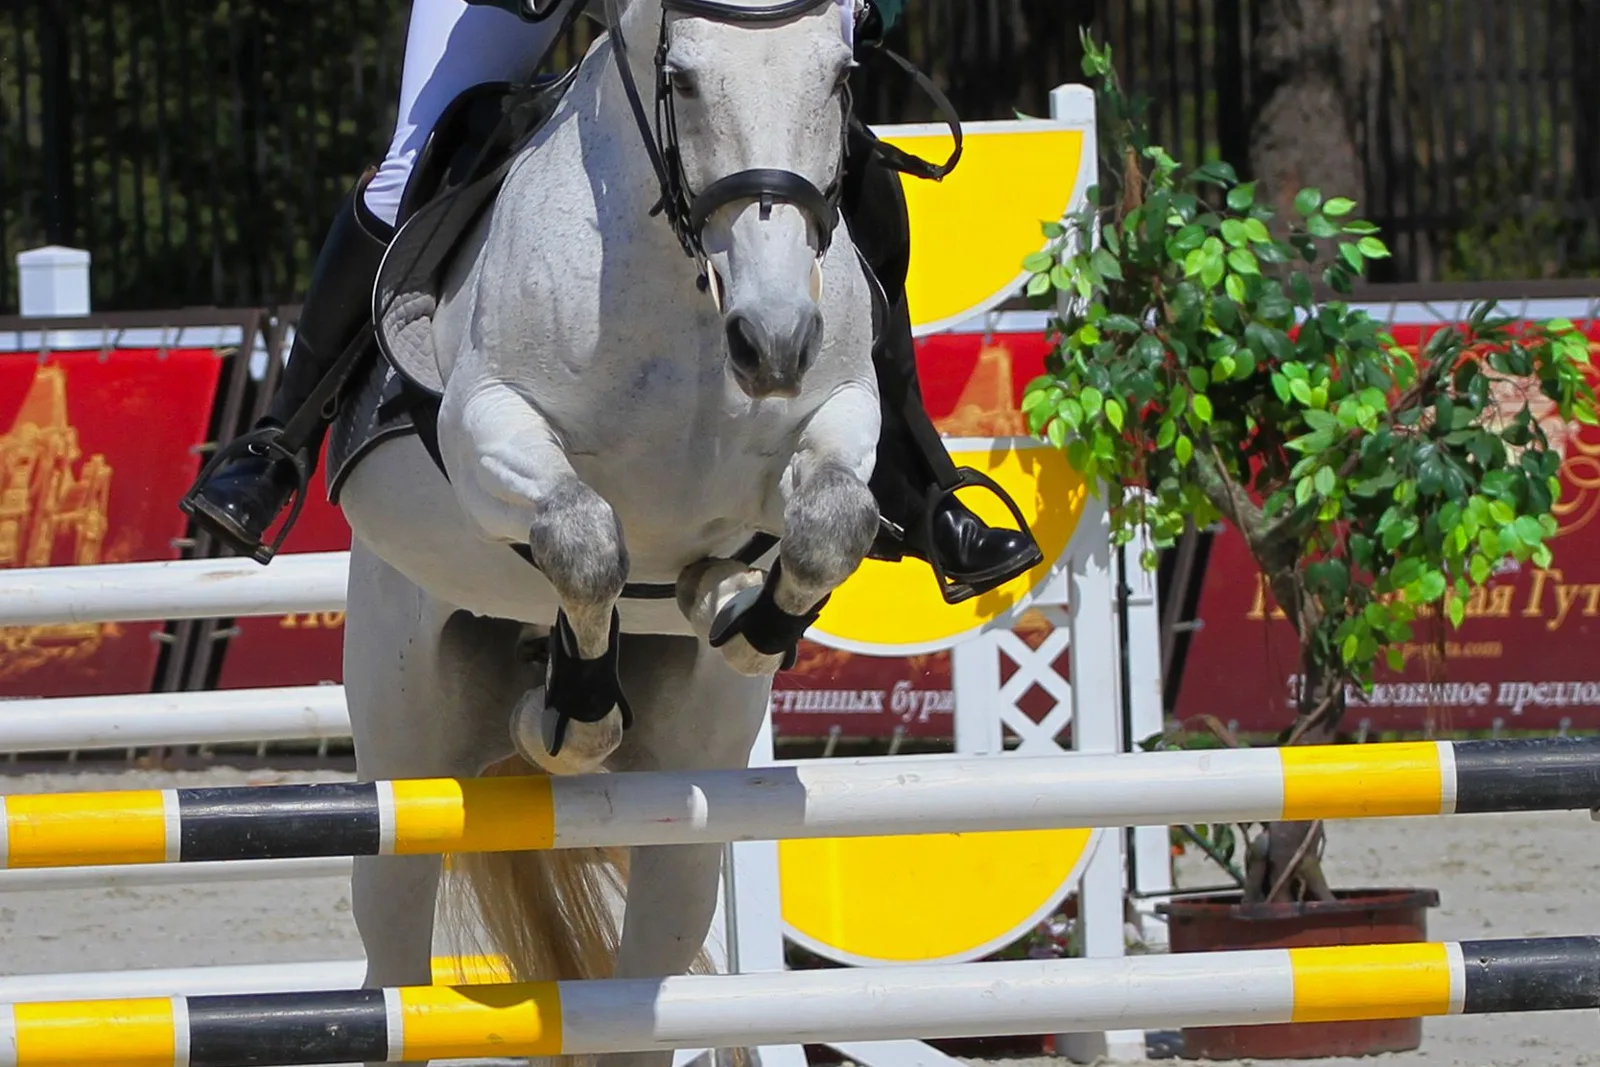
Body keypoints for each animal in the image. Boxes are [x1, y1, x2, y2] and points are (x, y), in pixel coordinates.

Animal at [332, 0, 880, 1062]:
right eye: (685, 80)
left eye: (839, 78)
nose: (774, 341)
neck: (688, 290)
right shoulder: (489, 428)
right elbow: (586, 541)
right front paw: (580, 708)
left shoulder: (839, 413)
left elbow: (833, 524)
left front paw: (739, 610)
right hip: (403, 763)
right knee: (391, 954)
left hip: (691, 818)